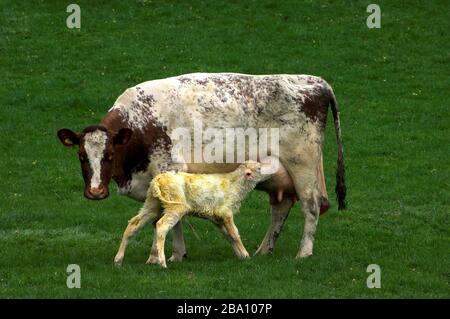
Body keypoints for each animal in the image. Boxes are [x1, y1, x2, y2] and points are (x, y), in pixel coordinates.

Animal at [116, 161, 270, 268]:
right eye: (259, 168)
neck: (236, 185)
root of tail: (158, 180)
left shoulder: (217, 218)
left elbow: (229, 235)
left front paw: (241, 256)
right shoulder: (225, 212)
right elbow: (235, 234)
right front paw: (246, 255)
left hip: (152, 204)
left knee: (133, 224)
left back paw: (118, 260)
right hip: (175, 206)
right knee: (162, 226)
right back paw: (162, 262)